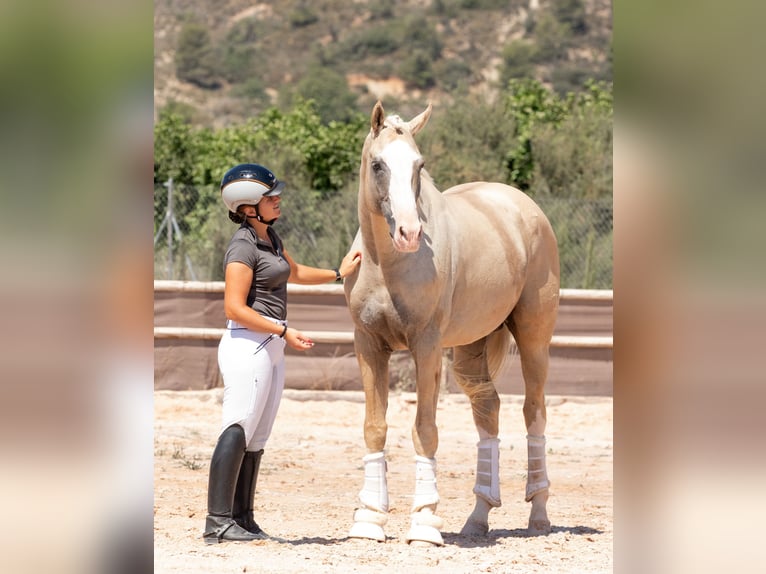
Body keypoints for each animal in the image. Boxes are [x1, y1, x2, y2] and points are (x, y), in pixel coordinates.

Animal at [344, 101, 560, 548]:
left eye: (419, 164)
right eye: (377, 164)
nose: (409, 233)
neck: (387, 265)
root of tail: (525, 208)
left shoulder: (426, 346)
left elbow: (425, 430)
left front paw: (424, 524)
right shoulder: (368, 344)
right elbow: (374, 427)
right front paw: (369, 521)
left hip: (534, 340)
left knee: (534, 412)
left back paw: (539, 515)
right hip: (471, 352)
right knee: (489, 412)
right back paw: (477, 519)